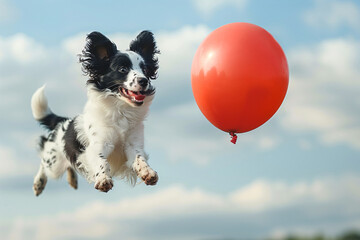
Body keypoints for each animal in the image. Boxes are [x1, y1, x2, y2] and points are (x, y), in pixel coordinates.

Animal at [31, 31, 160, 196]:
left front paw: (148, 172)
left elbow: (139, 158)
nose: (144, 81)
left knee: (71, 164)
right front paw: (103, 179)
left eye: (145, 70)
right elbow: (101, 161)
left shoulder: (133, 145)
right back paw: (39, 183)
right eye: (123, 69)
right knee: (44, 160)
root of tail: (63, 122)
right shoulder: (98, 145)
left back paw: (72, 179)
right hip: (54, 163)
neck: (121, 110)